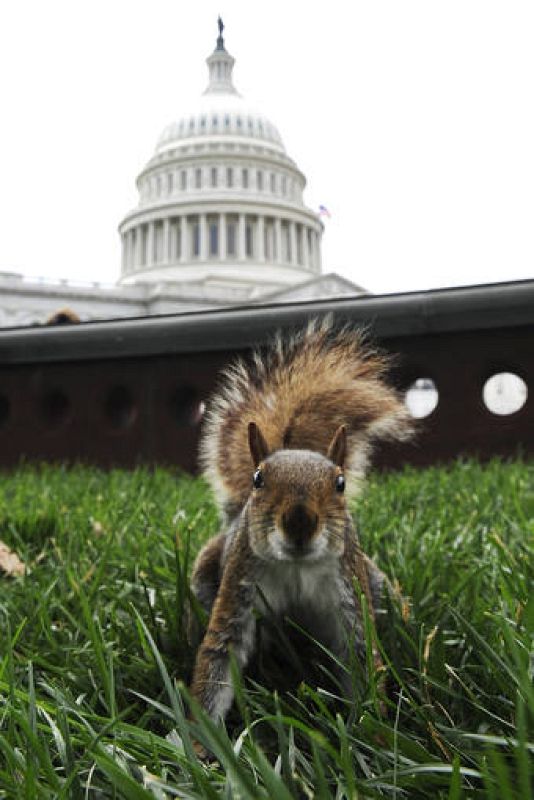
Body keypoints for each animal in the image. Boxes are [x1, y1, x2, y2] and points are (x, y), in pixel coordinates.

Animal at [189, 318, 413, 724]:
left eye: (340, 483)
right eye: (258, 479)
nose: (299, 524)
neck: (296, 567)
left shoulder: (349, 596)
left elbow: (361, 658)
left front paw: (374, 732)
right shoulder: (239, 589)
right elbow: (218, 656)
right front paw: (194, 737)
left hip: (375, 585)